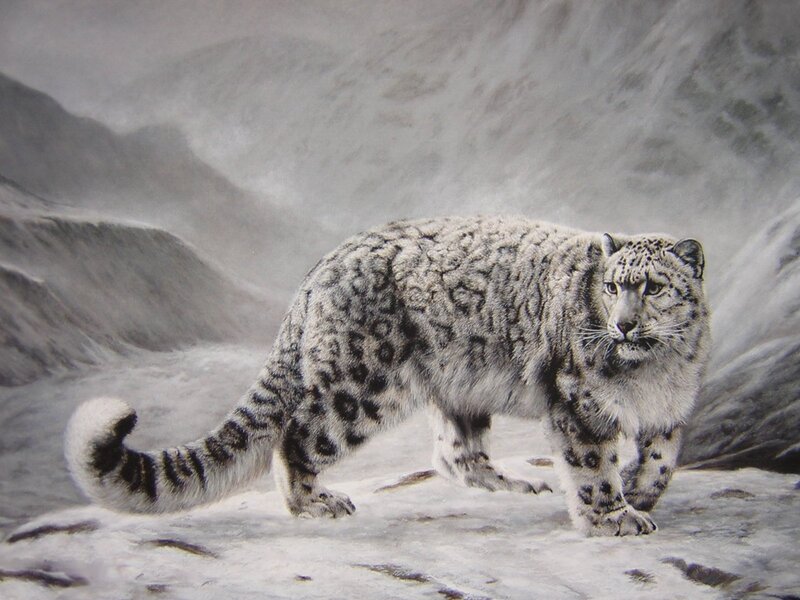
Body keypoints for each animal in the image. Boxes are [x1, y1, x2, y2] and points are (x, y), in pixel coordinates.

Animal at [65, 216, 710, 536]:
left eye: (653, 286)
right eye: (613, 287)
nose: (624, 325)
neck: (653, 373)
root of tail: (319, 269)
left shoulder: (672, 410)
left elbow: (662, 456)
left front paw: (642, 491)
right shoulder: (580, 407)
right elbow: (592, 468)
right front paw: (614, 517)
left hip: (463, 382)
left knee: (454, 450)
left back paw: (510, 482)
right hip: (361, 388)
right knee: (295, 438)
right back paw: (316, 502)